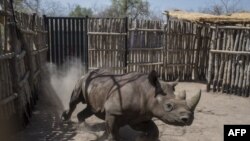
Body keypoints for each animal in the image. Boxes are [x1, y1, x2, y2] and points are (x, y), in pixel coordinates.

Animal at [61, 69, 202, 140]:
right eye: (168, 106)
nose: (189, 119)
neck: (149, 91)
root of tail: (87, 72)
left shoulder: (140, 115)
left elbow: (153, 129)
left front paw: (142, 137)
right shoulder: (113, 111)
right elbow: (113, 131)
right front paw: (118, 139)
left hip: (96, 86)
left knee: (90, 109)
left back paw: (84, 127)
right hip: (82, 81)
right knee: (74, 100)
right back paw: (66, 120)